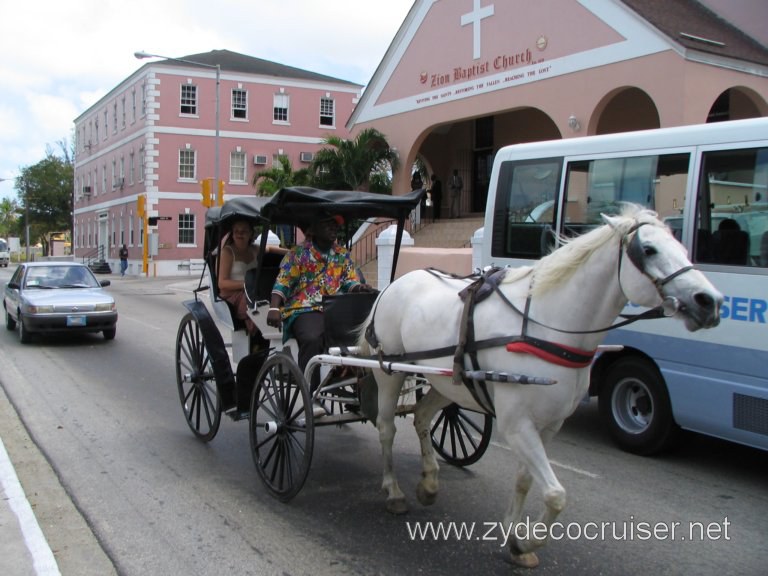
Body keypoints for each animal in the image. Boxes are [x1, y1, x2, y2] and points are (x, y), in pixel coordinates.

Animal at [356, 206, 724, 568]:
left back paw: (430, 483)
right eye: (648, 250)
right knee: (387, 428)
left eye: (684, 248)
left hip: (445, 381)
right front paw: (526, 540)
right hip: (390, 372)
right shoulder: (517, 424)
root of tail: (394, 285)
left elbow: (526, 480)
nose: (710, 301)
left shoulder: (549, 425)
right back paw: (394, 491)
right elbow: (556, 494)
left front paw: (515, 537)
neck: (545, 325)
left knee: (420, 416)